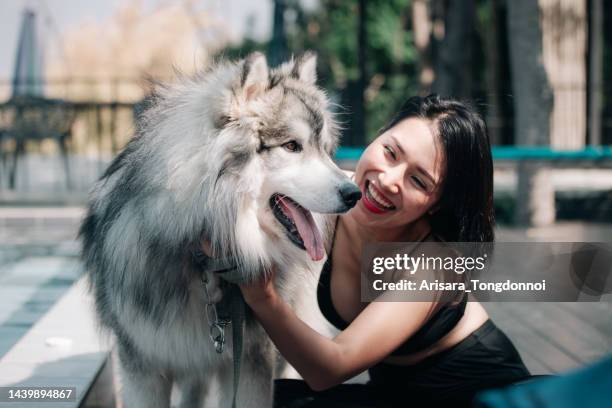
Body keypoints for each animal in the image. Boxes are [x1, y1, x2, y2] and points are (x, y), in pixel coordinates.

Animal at [79, 51, 360, 408]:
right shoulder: (143, 369)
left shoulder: (251, 359)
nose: (354, 193)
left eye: (323, 149)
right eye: (292, 146)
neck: (202, 262)